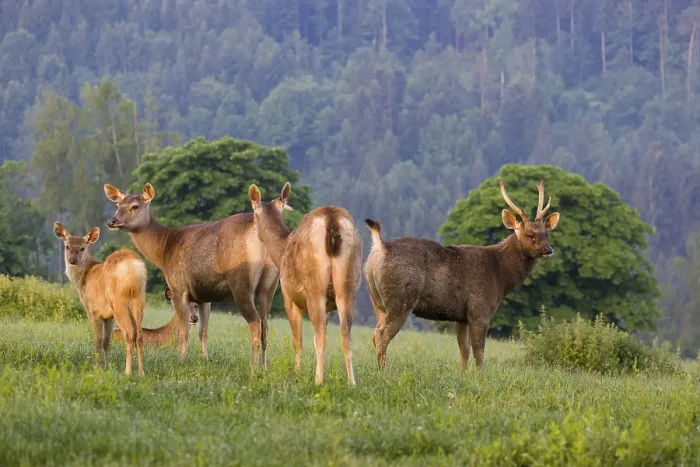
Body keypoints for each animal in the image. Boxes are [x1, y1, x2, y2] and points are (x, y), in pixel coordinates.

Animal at [53, 221, 147, 376]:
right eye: (67, 246)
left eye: (82, 248)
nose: (72, 260)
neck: (83, 278)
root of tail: (133, 267)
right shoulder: (108, 316)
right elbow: (106, 342)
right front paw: (107, 367)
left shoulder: (93, 311)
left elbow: (97, 340)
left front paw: (96, 368)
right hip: (139, 299)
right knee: (139, 334)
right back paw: (141, 373)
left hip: (119, 302)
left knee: (129, 333)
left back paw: (128, 371)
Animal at [103, 183, 279, 367]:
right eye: (117, 206)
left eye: (135, 206)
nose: (111, 221)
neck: (164, 251)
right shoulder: (204, 296)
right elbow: (203, 332)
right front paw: (205, 360)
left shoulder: (179, 287)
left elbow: (183, 331)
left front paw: (181, 360)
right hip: (269, 285)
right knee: (265, 326)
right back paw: (265, 367)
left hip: (241, 284)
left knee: (255, 323)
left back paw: (253, 367)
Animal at [248, 182, 363, 386]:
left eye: (254, 214)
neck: (281, 252)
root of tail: (332, 220)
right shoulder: (328, 307)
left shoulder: (288, 297)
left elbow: (298, 341)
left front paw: (297, 373)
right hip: (348, 285)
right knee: (345, 334)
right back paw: (352, 383)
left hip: (314, 286)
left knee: (320, 336)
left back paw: (318, 380)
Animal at [363, 179, 560, 373]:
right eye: (529, 234)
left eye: (546, 233)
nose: (549, 249)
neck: (501, 276)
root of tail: (381, 247)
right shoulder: (479, 309)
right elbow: (479, 351)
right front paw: (480, 377)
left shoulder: (462, 316)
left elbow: (464, 350)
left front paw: (464, 375)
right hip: (400, 299)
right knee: (381, 335)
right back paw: (384, 372)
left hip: (377, 302)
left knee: (375, 333)